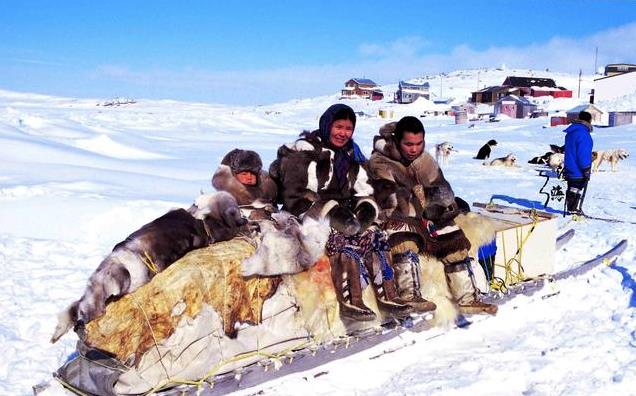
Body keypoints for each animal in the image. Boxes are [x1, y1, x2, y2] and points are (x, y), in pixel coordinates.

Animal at [51, 192, 246, 344]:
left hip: (99, 289)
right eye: (237, 210)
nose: (244, 218)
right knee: (84, 310)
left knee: (78, 308)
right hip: (110, 284)